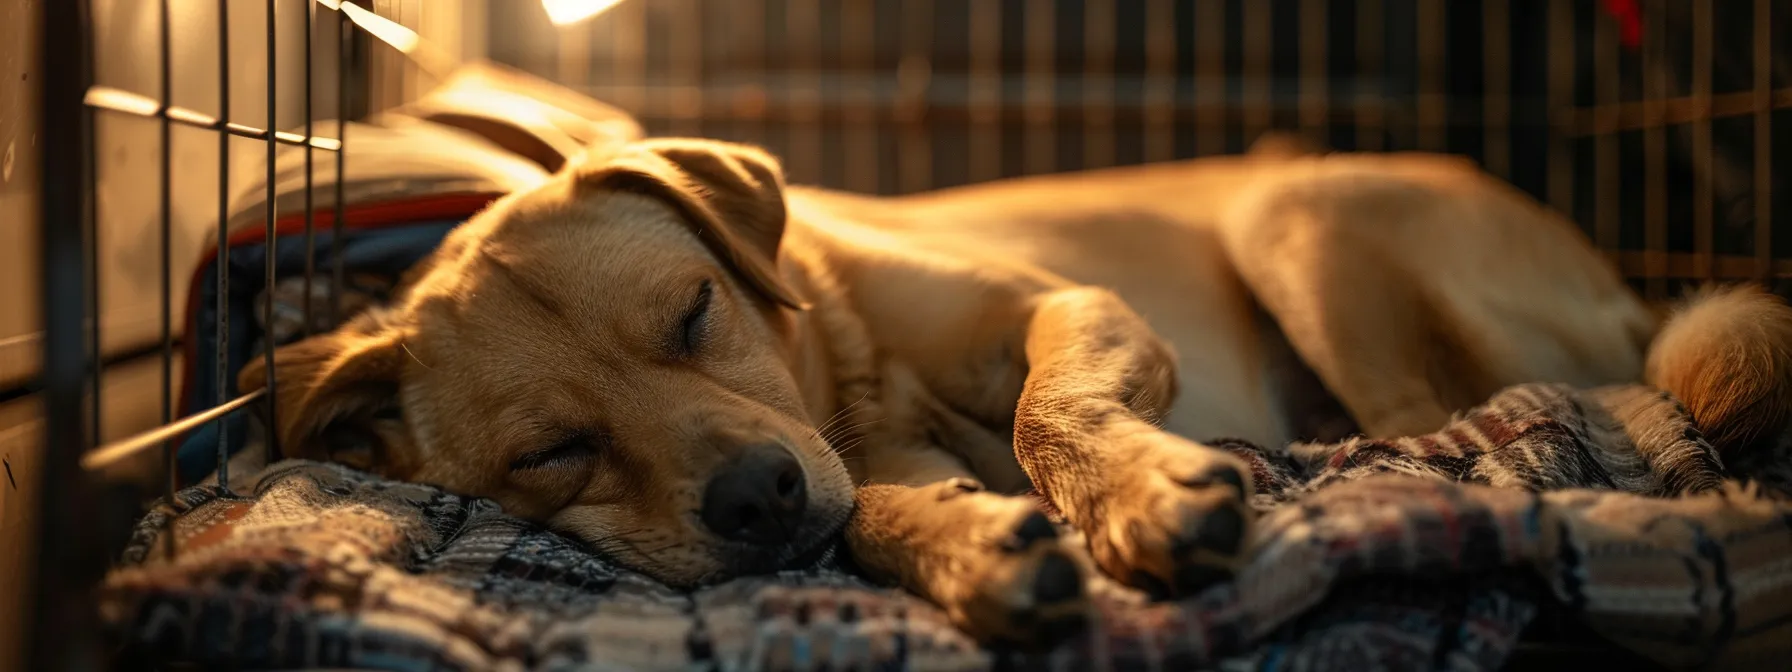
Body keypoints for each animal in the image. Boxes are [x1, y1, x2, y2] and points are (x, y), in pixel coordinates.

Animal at [238, 135, 1792, 648]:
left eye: (693, 311)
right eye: (555, 451)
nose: (756, 495)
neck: (852, 369)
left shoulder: (1067, 312)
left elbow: (1051, 416)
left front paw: (1146, 494)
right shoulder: (853, 468)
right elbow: (874, 516)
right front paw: (981, 553)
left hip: (1298, 212)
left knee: (1467, 417)